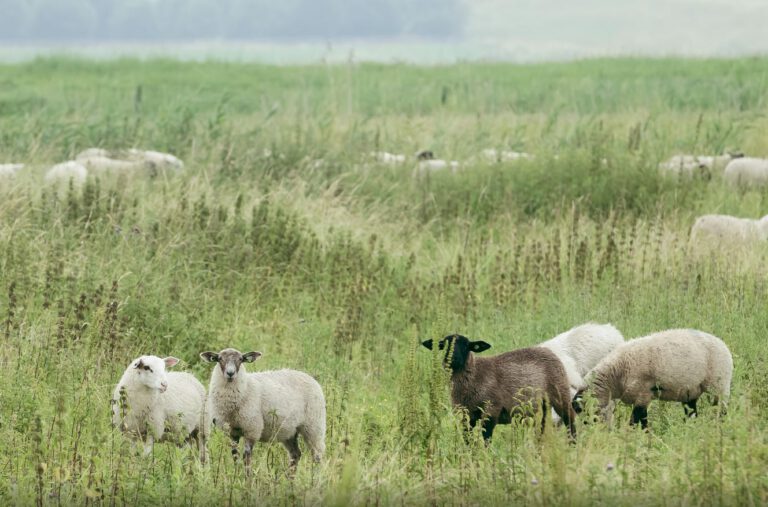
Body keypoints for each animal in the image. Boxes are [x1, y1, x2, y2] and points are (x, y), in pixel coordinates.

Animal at [420, 334, 576, 440]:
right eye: (444, 345)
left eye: (466, 346)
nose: (451, 359)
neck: (475, 374)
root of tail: (548, 351)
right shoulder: (466, 416)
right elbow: (468, 440)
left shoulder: (491, 411)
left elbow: (486, 440)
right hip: (543, 405)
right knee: (542, 428)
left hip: (560, 392)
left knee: (570, 418)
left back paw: (572, 445)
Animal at [588, 330, 732, 428]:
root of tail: (723, 345)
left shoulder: (642, 395)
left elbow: (638, 421)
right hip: (692, 390)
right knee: (692, 412)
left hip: (719, 384)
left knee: (721, 410)